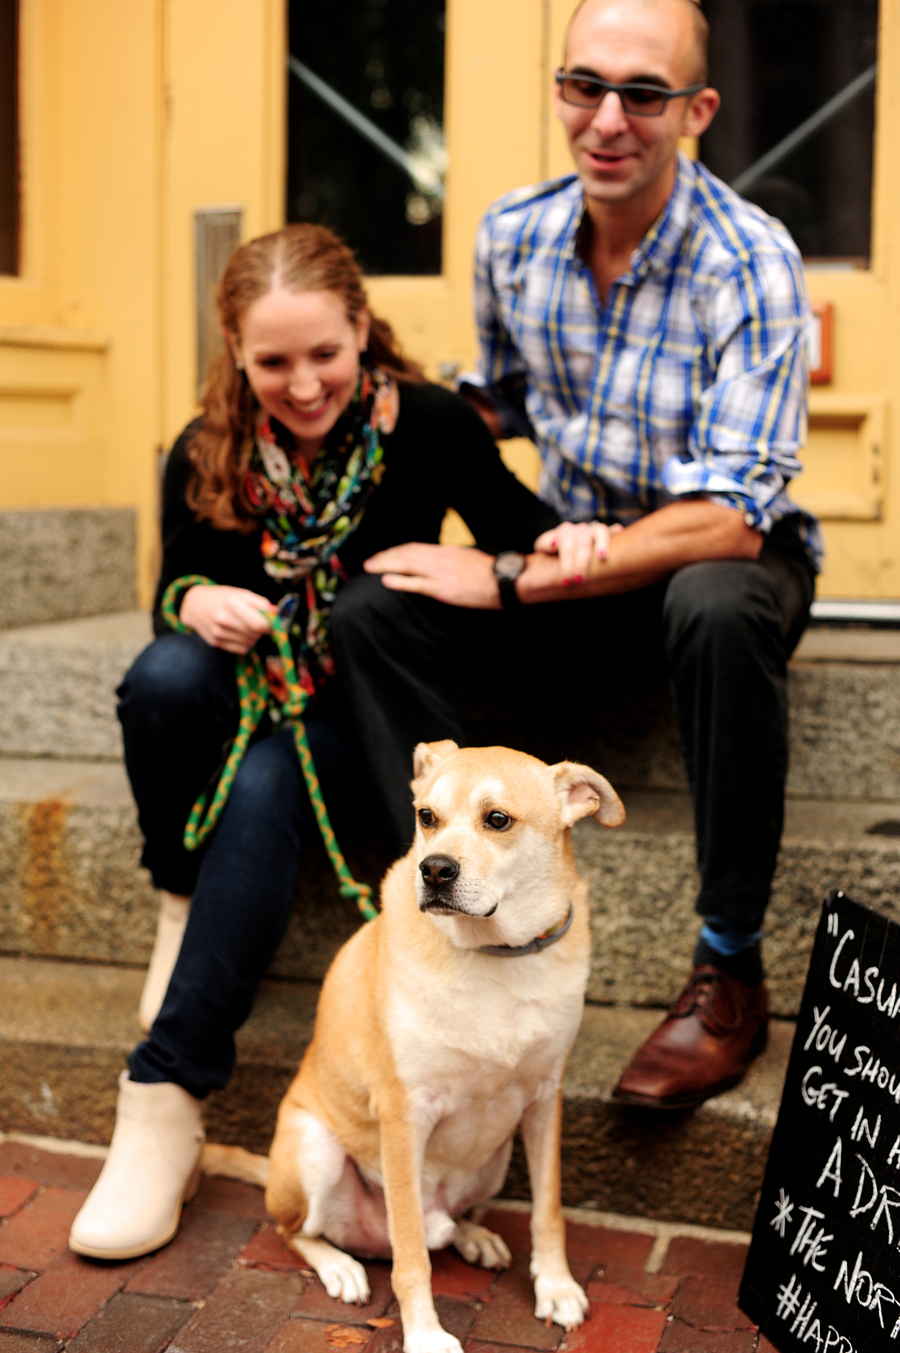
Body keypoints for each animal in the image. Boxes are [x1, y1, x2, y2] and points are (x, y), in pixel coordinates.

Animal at [209, 746, 622, 1347]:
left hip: (495, 1160)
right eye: (427, 816)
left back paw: (473, 1236)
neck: (496, 955)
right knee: (297, 1231)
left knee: (448, 1225)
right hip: (315, 1150)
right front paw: (425, 1334)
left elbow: (548, 1212)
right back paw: (341, 1267)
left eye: (498, 819)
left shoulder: (547, 1098)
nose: (434, 869)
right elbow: (409, 1257)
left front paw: (556, 1286)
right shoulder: (405, 1117)